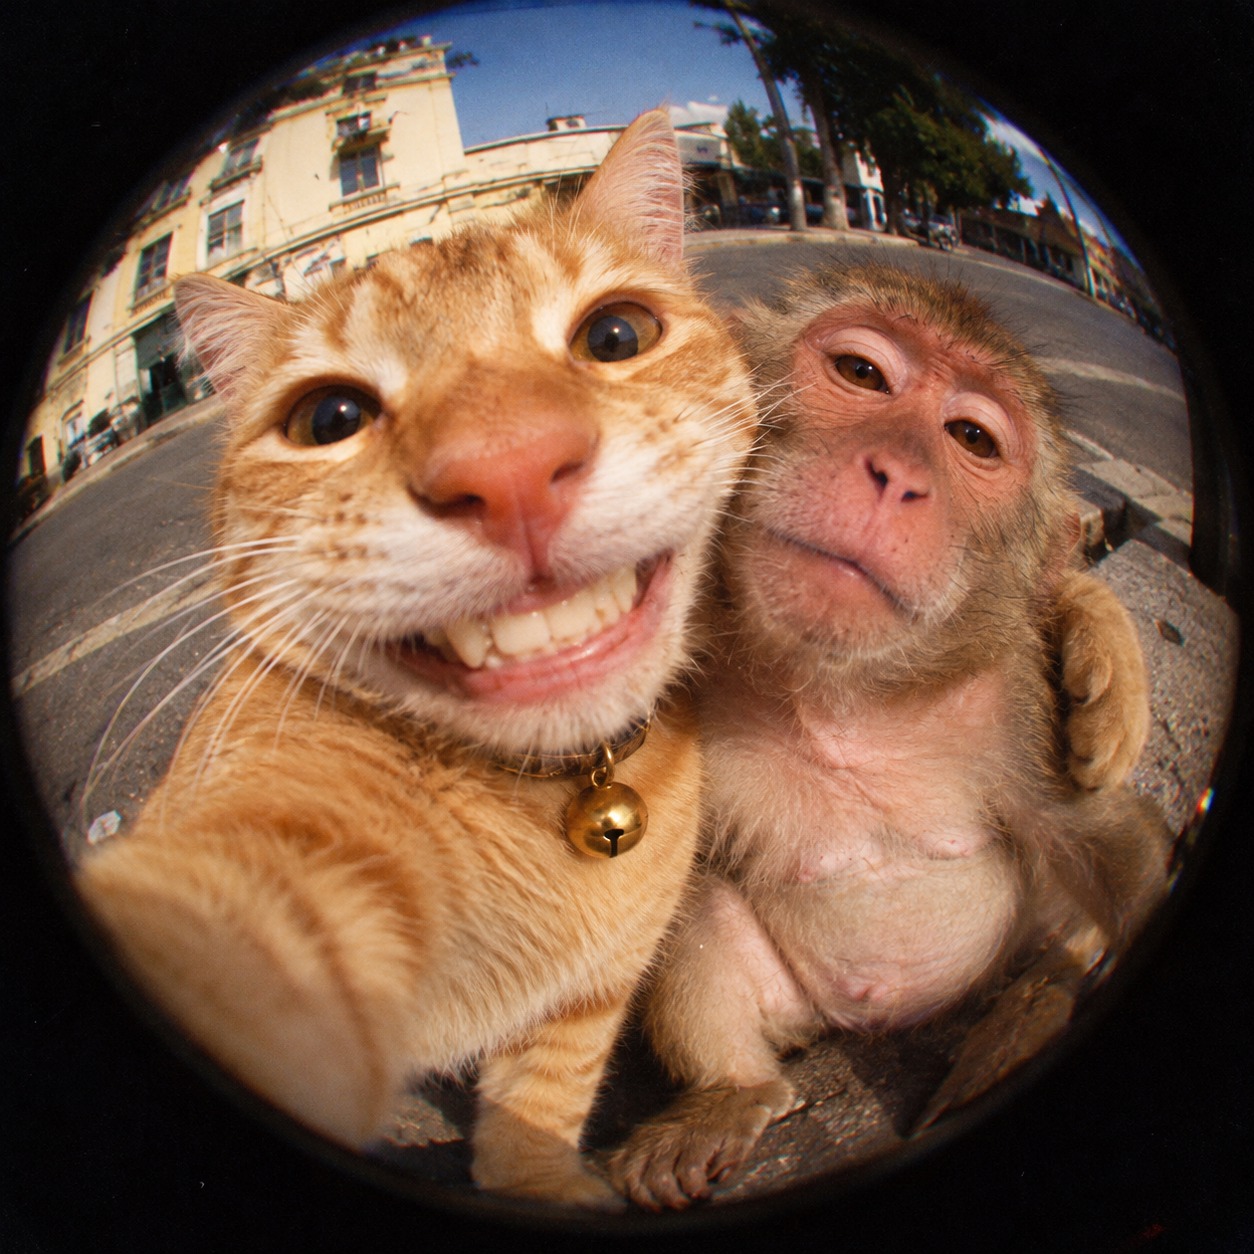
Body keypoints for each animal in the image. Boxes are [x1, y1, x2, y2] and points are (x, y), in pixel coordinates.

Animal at [611, 262, 1168, 1210]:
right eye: (863, 375)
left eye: (973, 438)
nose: (895, 474)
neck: (841, 696)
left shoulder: (1017, 714)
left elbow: (1103, 839)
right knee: (691, 902)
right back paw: (730, 1093)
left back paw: (1037, 1000)